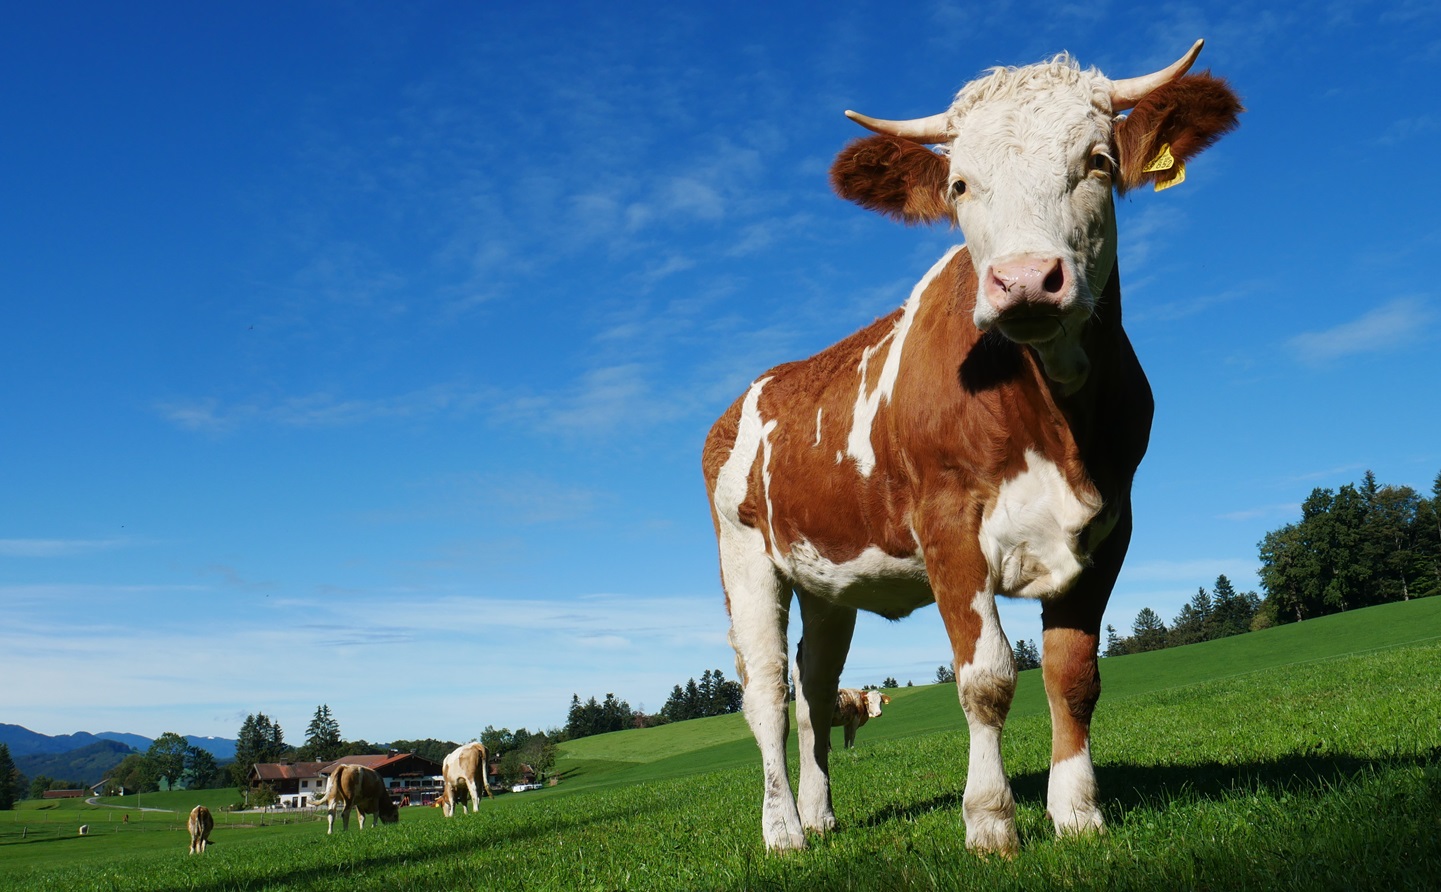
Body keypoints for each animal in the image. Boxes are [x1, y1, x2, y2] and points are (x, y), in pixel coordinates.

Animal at [703, 38, 1245, 853]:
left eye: (1097, 161)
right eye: (959, 184)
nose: (1024, 281)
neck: (1053, 415)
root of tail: (752, 392)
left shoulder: (1111, 525)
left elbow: (1072, 675)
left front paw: (1076, 813)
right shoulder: (947, 525)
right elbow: (985, 678)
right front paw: (990, 823)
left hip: (826, 581)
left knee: (814, 691)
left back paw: (821, 817)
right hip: (745, 561)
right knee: (765, 693)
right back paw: (784, 833)